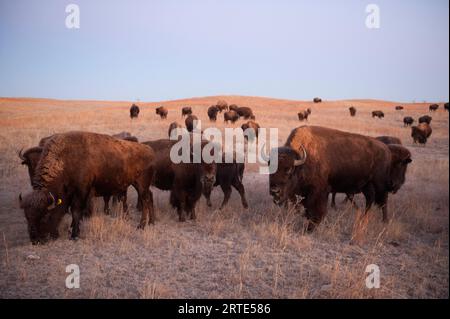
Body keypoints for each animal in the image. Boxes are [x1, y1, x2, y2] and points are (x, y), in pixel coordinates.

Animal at [18, 132, 156, 245]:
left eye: (46, 215)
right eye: (27, 216)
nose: (36, 240)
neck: (64, 161)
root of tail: (149, 150)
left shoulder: (81, 191)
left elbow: (76, 211)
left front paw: (74, 235)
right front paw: (72, 229)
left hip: (140, 184)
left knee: (145, 201)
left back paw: (141, 225)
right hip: (140, 185)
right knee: (149, 198)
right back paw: (151, 222)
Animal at [268, 126, 412, 234]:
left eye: (289, 170)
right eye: (270, 169)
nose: (274, 191)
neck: (303, 161)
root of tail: (386, 149)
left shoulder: (319, 192)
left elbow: (316, 209)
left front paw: (311, 227)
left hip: (379, 184)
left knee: (383, 201)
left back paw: (384, 221)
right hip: (366, 185)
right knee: (370, 200)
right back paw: (363, 217)